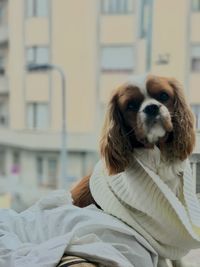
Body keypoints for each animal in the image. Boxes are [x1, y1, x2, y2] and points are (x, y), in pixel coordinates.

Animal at [69, 74, 196, 267]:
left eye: (164, 96)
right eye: (130, 106)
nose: (151, 108)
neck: (156, 157)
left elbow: (177, 259)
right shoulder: (153, 240)